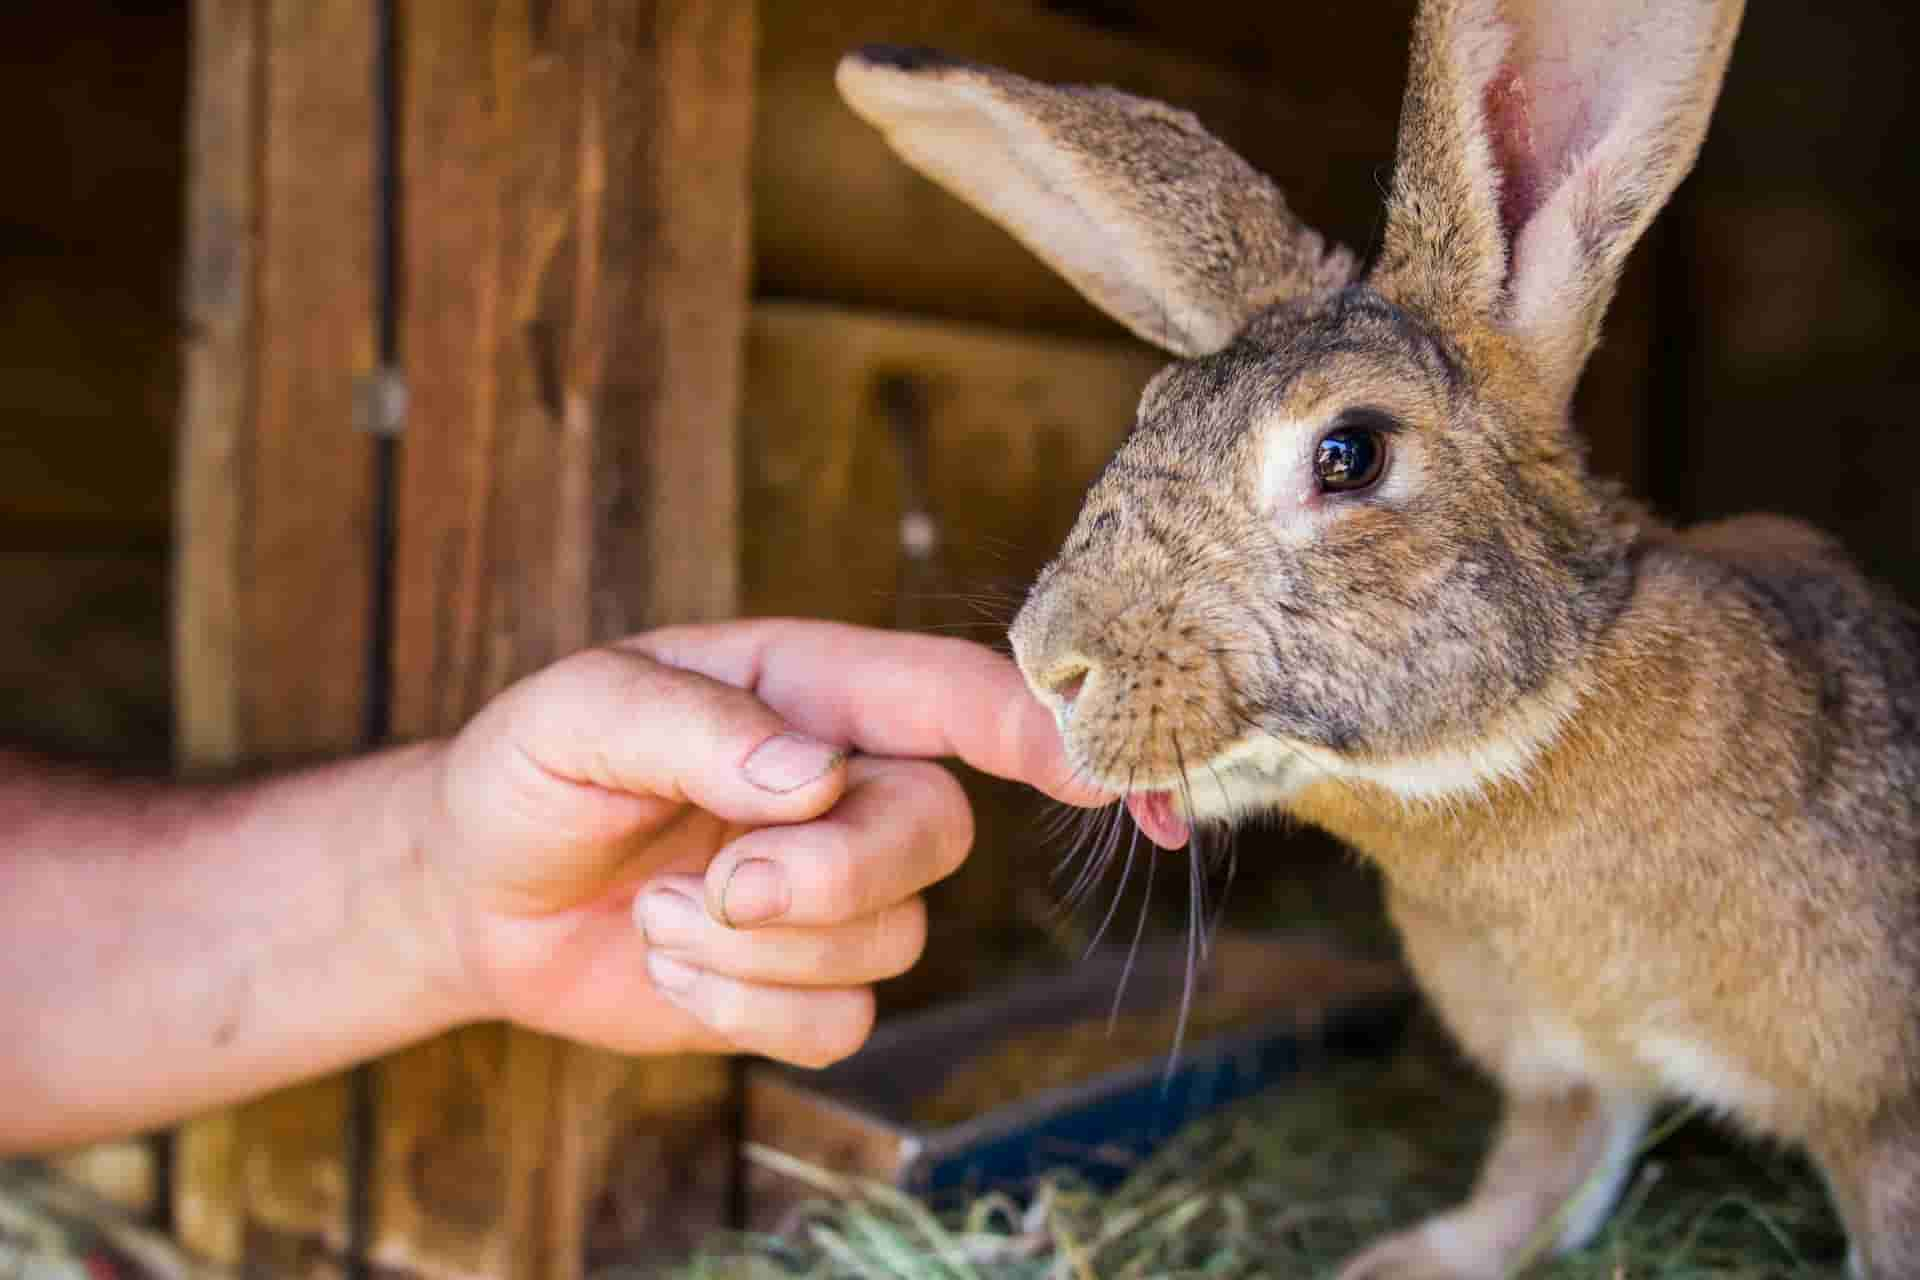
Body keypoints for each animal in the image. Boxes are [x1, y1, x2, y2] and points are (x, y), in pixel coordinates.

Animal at [837, 0, 1920, 1274]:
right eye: (1148, 415)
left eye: (1350, 452)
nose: (1049, 661)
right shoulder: (1565, 1068)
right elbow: (1538, 1170)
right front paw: (1406, 1257)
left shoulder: (1884, 1113)